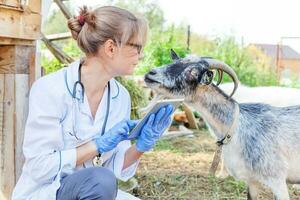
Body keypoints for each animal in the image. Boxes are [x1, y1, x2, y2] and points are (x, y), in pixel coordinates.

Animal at [143, 49, 300, 199]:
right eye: (175, 61)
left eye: (193, 72)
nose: (151, 73)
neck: (236, 127)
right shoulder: (251, 180)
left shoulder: (277, 180)